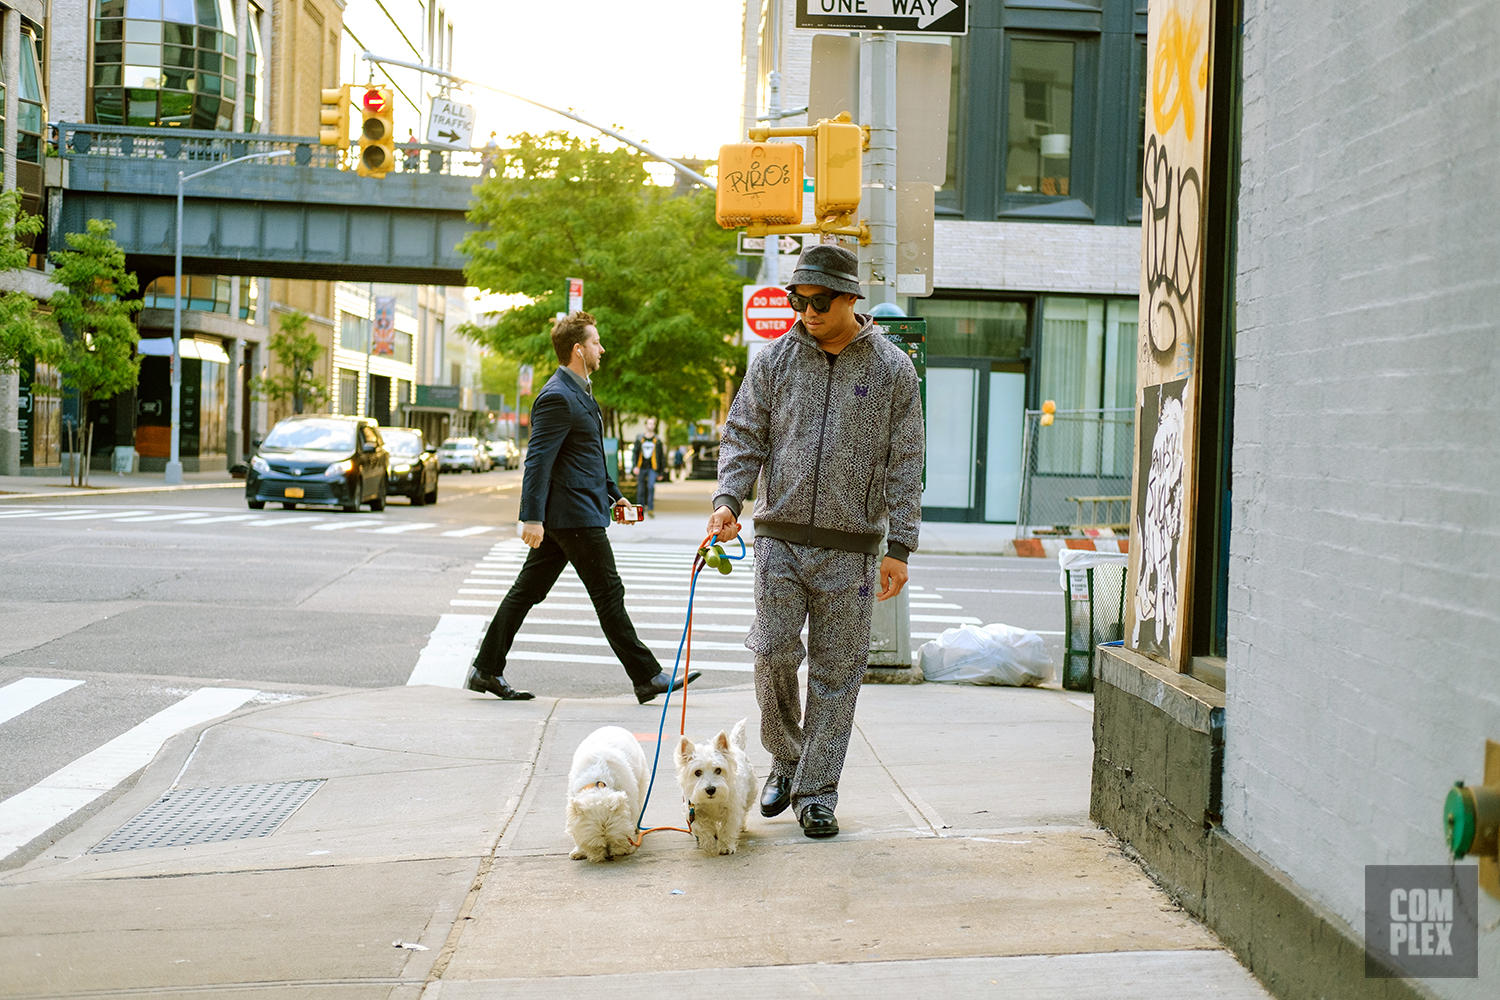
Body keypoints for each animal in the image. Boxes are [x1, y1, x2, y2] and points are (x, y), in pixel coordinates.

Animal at [564, 722, 645, 863]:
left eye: (614, 839)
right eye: (595, 843)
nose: (608, 856)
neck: (598, 784)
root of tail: (612, 726)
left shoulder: (631, 801)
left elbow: (630, 820)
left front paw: (628, 845)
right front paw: (579, 851)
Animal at [675, 716, 756, 857]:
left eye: (718, 770)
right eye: (697, 772)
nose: (710, 789)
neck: (712, 802)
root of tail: (734, 745)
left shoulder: (732, 810)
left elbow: (728, 828)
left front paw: (726, 847)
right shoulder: (693, 811)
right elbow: (701, 827)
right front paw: (708, 843)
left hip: (750, 793)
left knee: (744, 812)